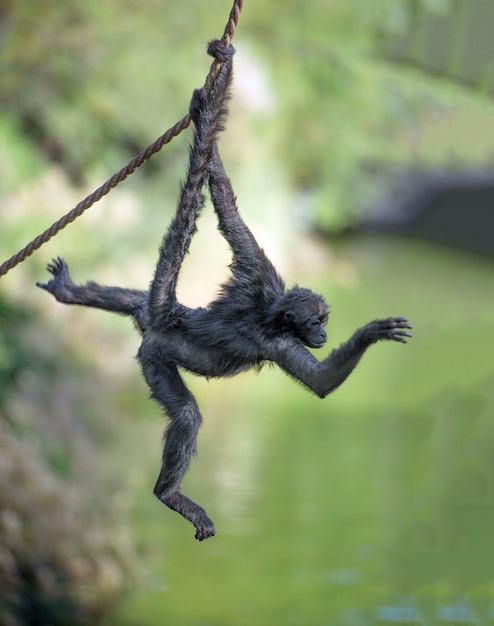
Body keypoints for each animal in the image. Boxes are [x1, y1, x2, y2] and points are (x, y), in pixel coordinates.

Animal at [36, 39, 412, 540]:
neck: (270, 311)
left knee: (136, 301)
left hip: (157, 320)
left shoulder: (265, 278)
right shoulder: (275, 333)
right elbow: (320, 382)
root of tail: (167, 319)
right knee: (186, 415)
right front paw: (374, 331)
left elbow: (225, 202)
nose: (324, 335)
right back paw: (169, 493)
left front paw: (203, 115)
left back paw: (70, 292)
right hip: (155, 358)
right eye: (315, 322)